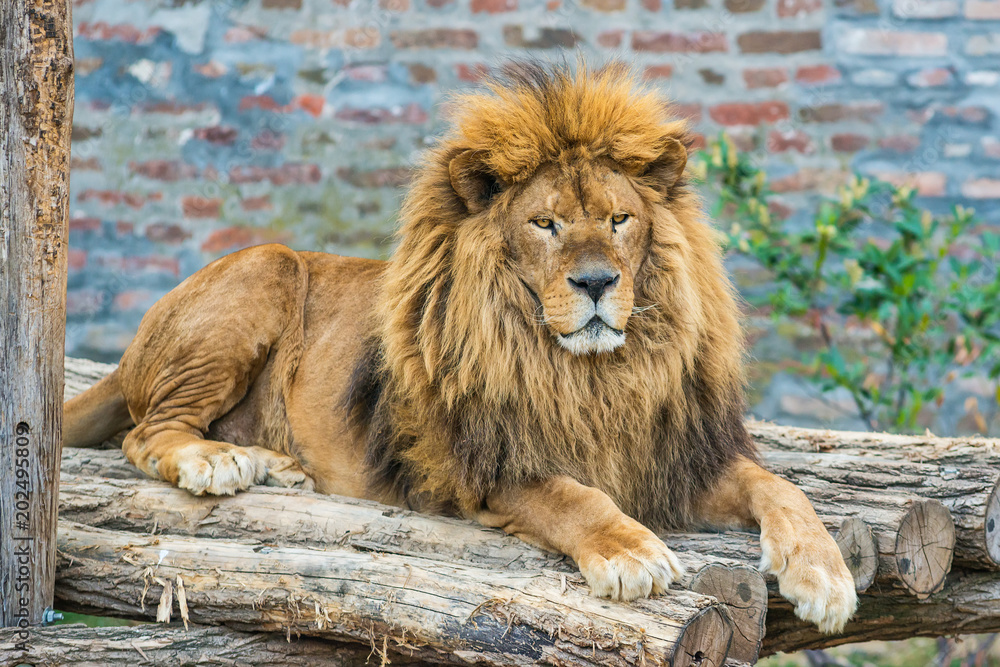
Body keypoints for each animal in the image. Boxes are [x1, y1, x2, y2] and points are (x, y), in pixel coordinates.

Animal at [65, 62, 856, 633]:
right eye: (544, 223)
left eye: (619, 219)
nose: (598, 281)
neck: (595, 375)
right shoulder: (478, 462)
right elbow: (571, 494)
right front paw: (631, 551)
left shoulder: (679, 456)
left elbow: (780, 487)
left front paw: (825, 577)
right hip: (266, 267)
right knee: (147, 431)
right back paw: (219, 461)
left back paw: (274, 465)